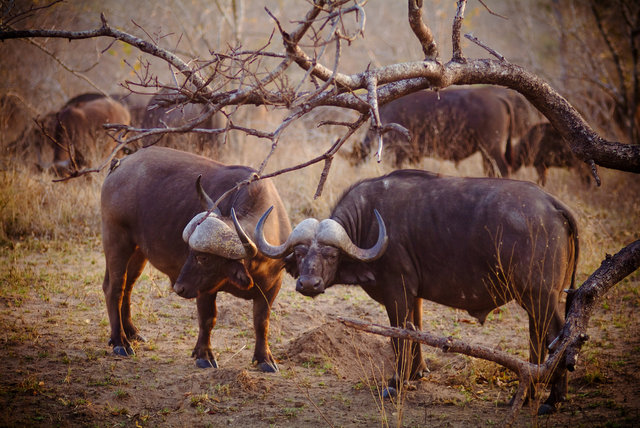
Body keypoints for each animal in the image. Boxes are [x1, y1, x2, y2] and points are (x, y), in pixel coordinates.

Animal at [101, 146, 292, 372]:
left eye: (203, 258)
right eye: (190, 252)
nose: (178, 288)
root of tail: (120, 164)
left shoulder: (272, 287)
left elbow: (261, 321)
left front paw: (265, 358)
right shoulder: (204, 289)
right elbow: (208, 318)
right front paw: (204, 355)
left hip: (138, 251)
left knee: (128, 287)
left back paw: (132, 332)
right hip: (116, 240)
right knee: (114, 288)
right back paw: (120, 342)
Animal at [352, 86, 544, 176]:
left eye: (355, 159)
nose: (356, 170)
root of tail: (497, 98)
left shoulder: (398, 154)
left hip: (491, 147)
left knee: (503, 168)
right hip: (485, 152)